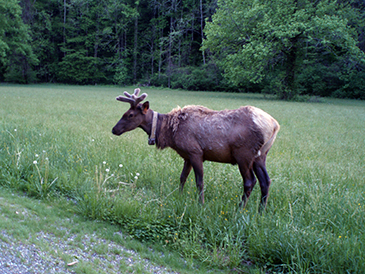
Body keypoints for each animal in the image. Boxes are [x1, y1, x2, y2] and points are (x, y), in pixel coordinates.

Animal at [111, 89, 278, 209]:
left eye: (130, 114)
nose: (114, 129)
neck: (169, 131)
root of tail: (275, 125)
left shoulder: (195, 152)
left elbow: (199, 181)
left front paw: (200, 204)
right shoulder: (186, 156)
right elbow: (182, 177)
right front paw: (179, 196)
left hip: (243, 154)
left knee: (250, 181)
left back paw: (240, 209)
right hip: (260, 156)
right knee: (266, 181)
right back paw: (261, 211)